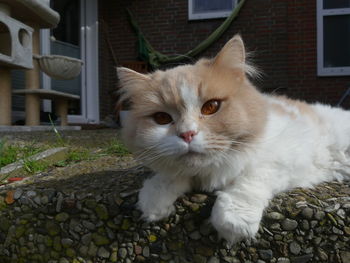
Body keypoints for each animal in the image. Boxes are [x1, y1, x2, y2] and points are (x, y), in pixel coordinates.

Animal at [115, 35, 350, 245]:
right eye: (162, 118)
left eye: (211, 107)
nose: (187, 134)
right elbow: (169, 177)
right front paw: (153, 203)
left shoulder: (284, 160)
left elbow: (247, 181)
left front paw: (232, 223)